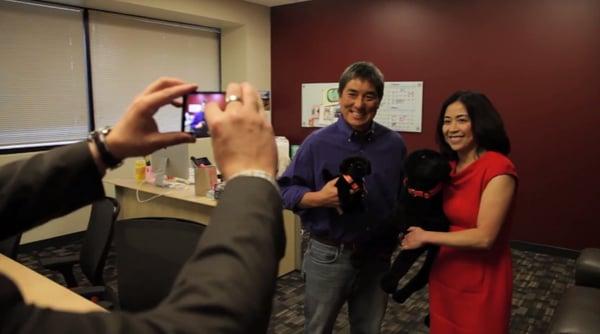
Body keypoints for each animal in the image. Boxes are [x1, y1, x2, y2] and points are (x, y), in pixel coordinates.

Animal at [382, 150, 448, 304]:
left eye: (441, 158)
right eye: (423, 157)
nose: (440, 164)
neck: (419, 195)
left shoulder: (418, 236)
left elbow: (402, 261)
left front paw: (389, 283)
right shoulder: (393, 220)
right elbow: (376, 233)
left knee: (423, 275)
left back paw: (400, 295)